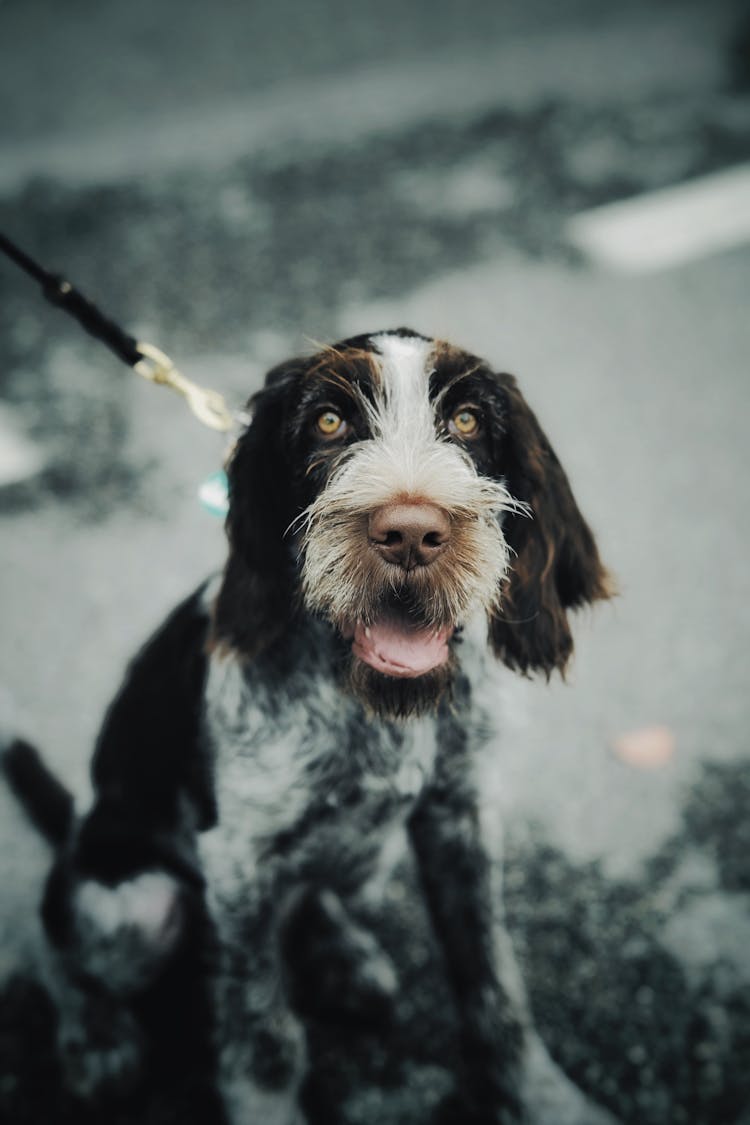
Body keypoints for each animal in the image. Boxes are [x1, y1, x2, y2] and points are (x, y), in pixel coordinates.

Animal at [4, 328, 616, 1120]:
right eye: (329, 422)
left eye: (469, 421)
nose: (411, 534)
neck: (375, 708)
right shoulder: (238, 865)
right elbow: (263, 1035)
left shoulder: (462, 820)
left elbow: (493, 983)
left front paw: (543, 1097)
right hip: (138, 907)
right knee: (53, 944)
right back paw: (94, 1038)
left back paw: (342, 955)